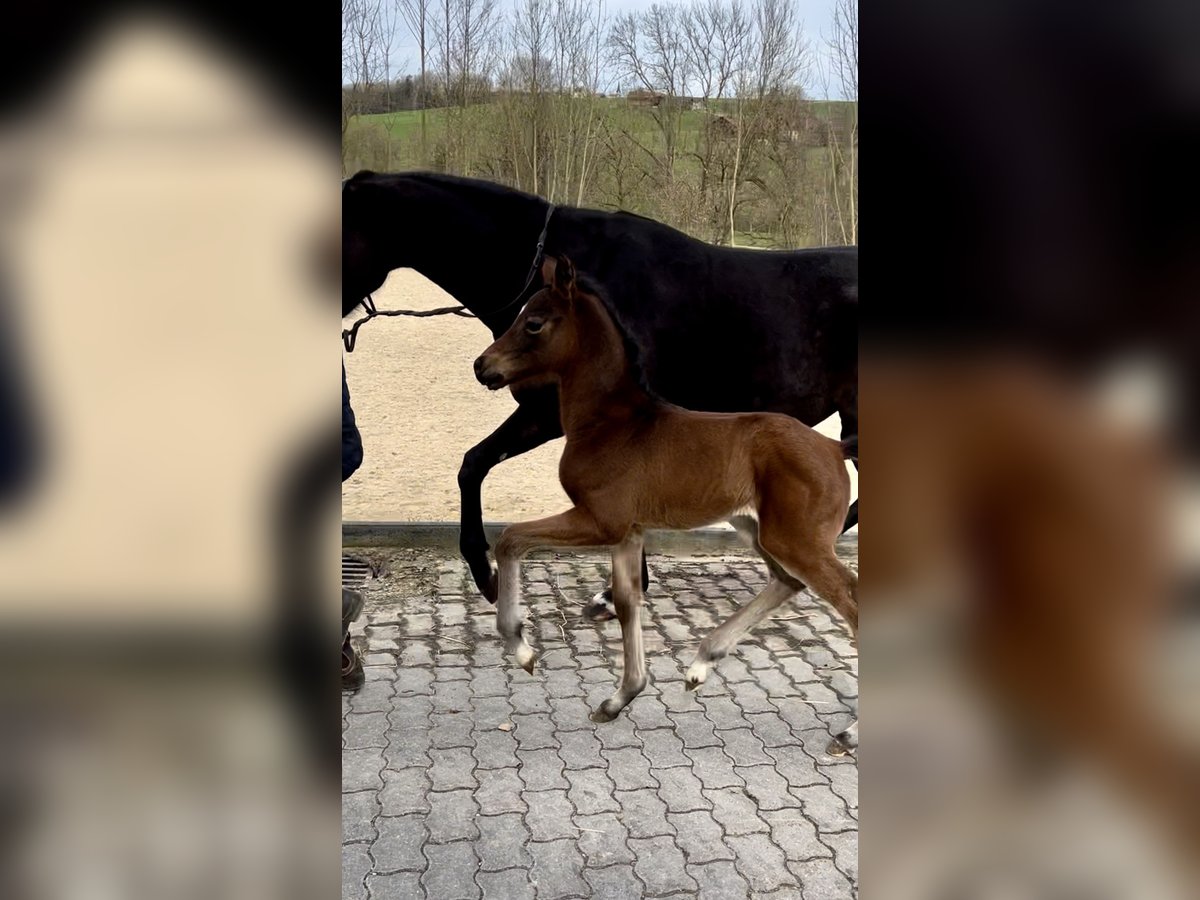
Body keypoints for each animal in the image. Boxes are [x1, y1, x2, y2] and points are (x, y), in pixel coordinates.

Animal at [472, 255, 859, 748]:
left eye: (534, 323)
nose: (482, 366)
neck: (611, 423)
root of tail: (834, 447)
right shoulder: (629, 532)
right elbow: (626, 601)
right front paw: (621, 697)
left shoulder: (601, 520)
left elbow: (510, 539)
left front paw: (521, 648)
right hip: (757, 529)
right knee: (786, 581)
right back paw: (701, 663)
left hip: (796, 540)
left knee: (848, 599)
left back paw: (851, 732)